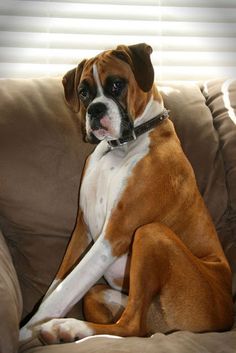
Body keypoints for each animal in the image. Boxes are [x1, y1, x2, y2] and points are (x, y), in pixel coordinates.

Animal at [19, 42, 233, 344]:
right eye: (83, 92)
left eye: (116, 85)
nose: (95, 110)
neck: (118, 148)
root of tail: (227, 313)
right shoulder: (83, 230)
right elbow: (58, 284)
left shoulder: (114, 235)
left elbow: (60, 294)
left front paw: (23, 332)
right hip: (100, 293)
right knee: (133, 324)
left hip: (151, 233)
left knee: (130, 326)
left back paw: (66, 328)